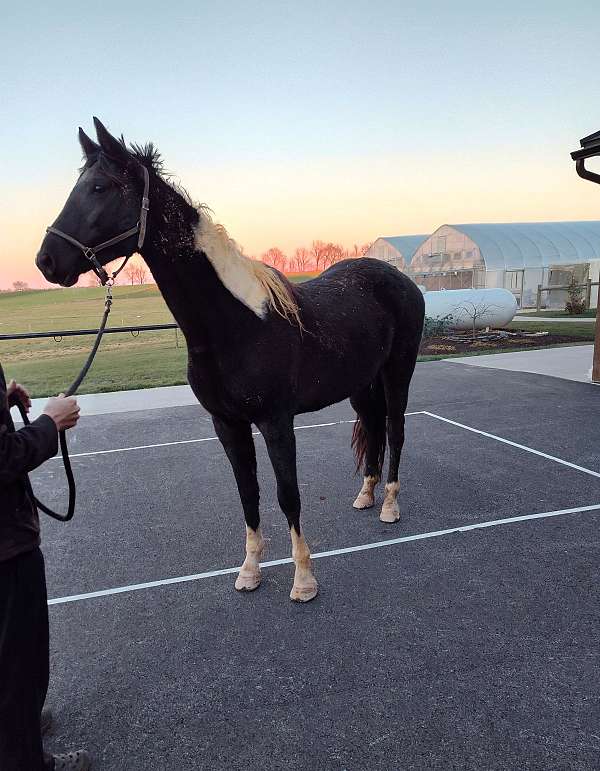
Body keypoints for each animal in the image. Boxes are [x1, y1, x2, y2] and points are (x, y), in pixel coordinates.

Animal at [37, 120, 424, 604]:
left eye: (100, 187)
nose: (47, 261)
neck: (235, 324)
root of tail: (401, 279)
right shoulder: (227, 424)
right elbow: (248, 494)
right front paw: (250, 572)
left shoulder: (276, 422)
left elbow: (287, 495)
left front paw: (303, 580)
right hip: (360, 384)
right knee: (372, 427)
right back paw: (366, 495)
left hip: (397, 375)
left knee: (395, 430)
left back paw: (389, 504)